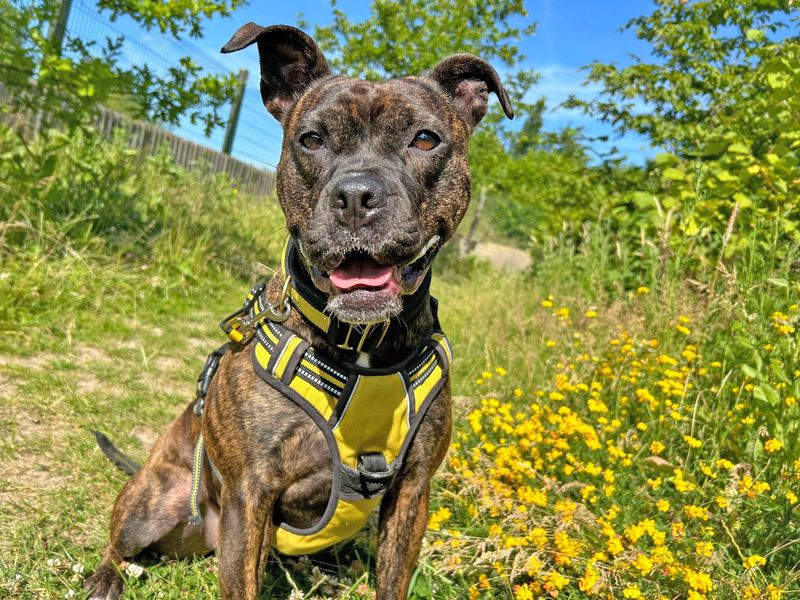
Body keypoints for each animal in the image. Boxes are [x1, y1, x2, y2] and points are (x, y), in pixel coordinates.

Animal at [83, 23, 512, 600]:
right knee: (119, 540)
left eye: (425, 139)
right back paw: (107, 576)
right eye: (311, 140)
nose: (356, 196)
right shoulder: (250, 492)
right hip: (153, 503)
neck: (361, 345)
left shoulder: (412, 491)